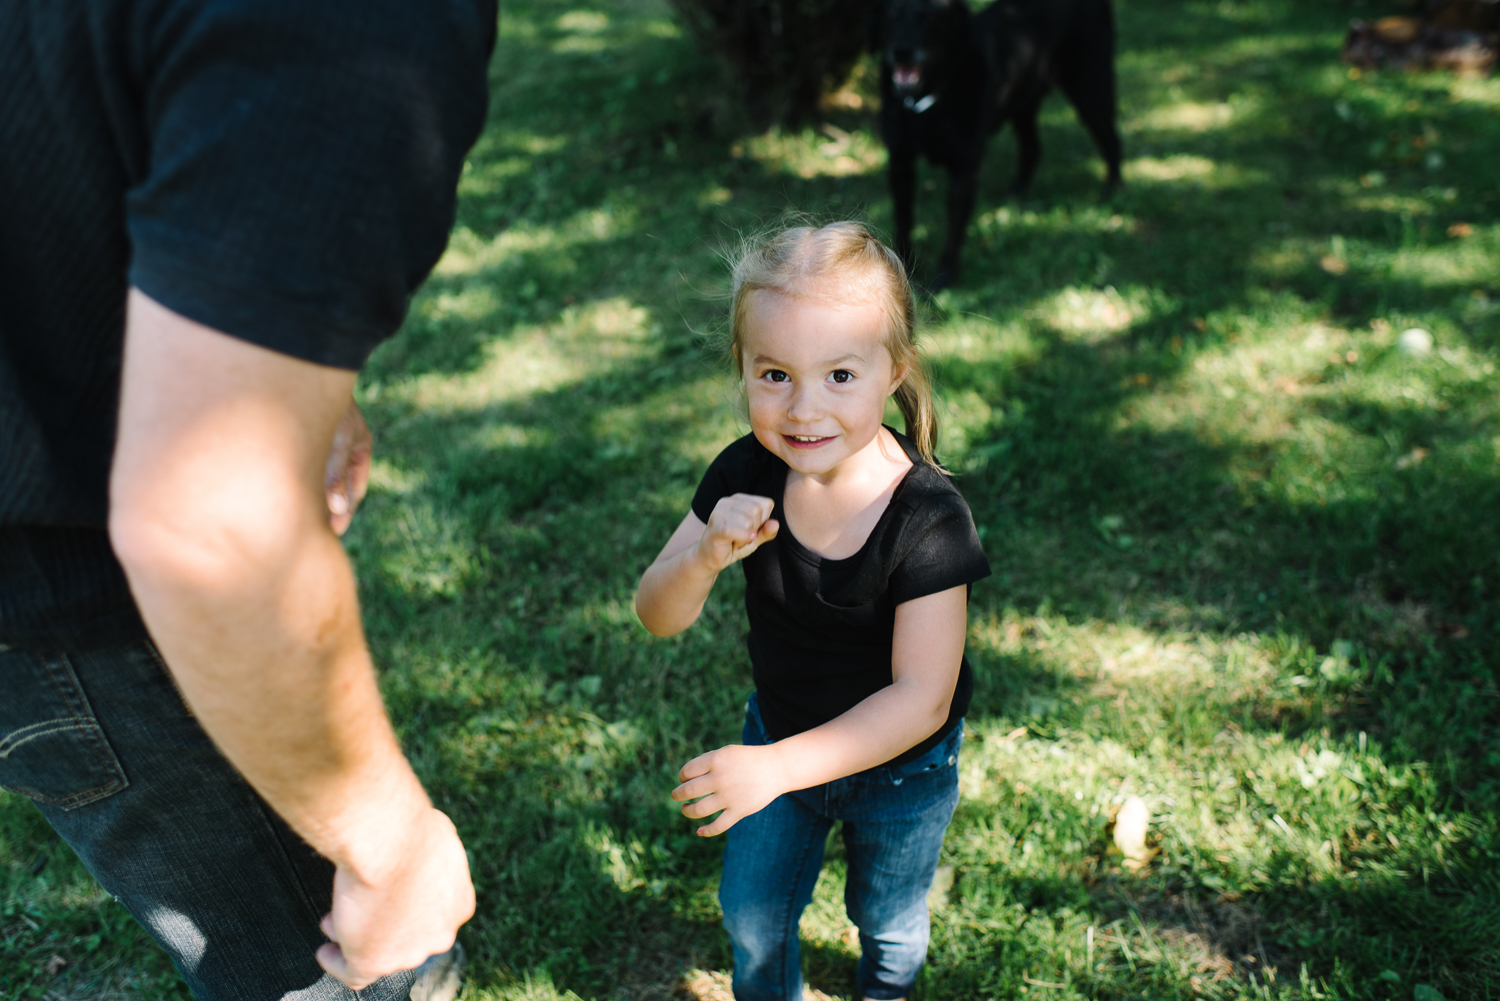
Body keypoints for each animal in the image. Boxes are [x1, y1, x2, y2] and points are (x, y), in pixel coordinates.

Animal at [876, 0, 1122, 289]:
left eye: (931, 15)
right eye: (892, 12)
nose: (902, 50)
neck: (928, 106)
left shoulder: (965, 171)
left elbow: (953, 232)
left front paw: (944, 276)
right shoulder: (900, 162)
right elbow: (903, 220)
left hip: (1090, 92)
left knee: (1112, 142)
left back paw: (1114, 191)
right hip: (1023, 105)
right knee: (1033, 148)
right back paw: (1016, 195)